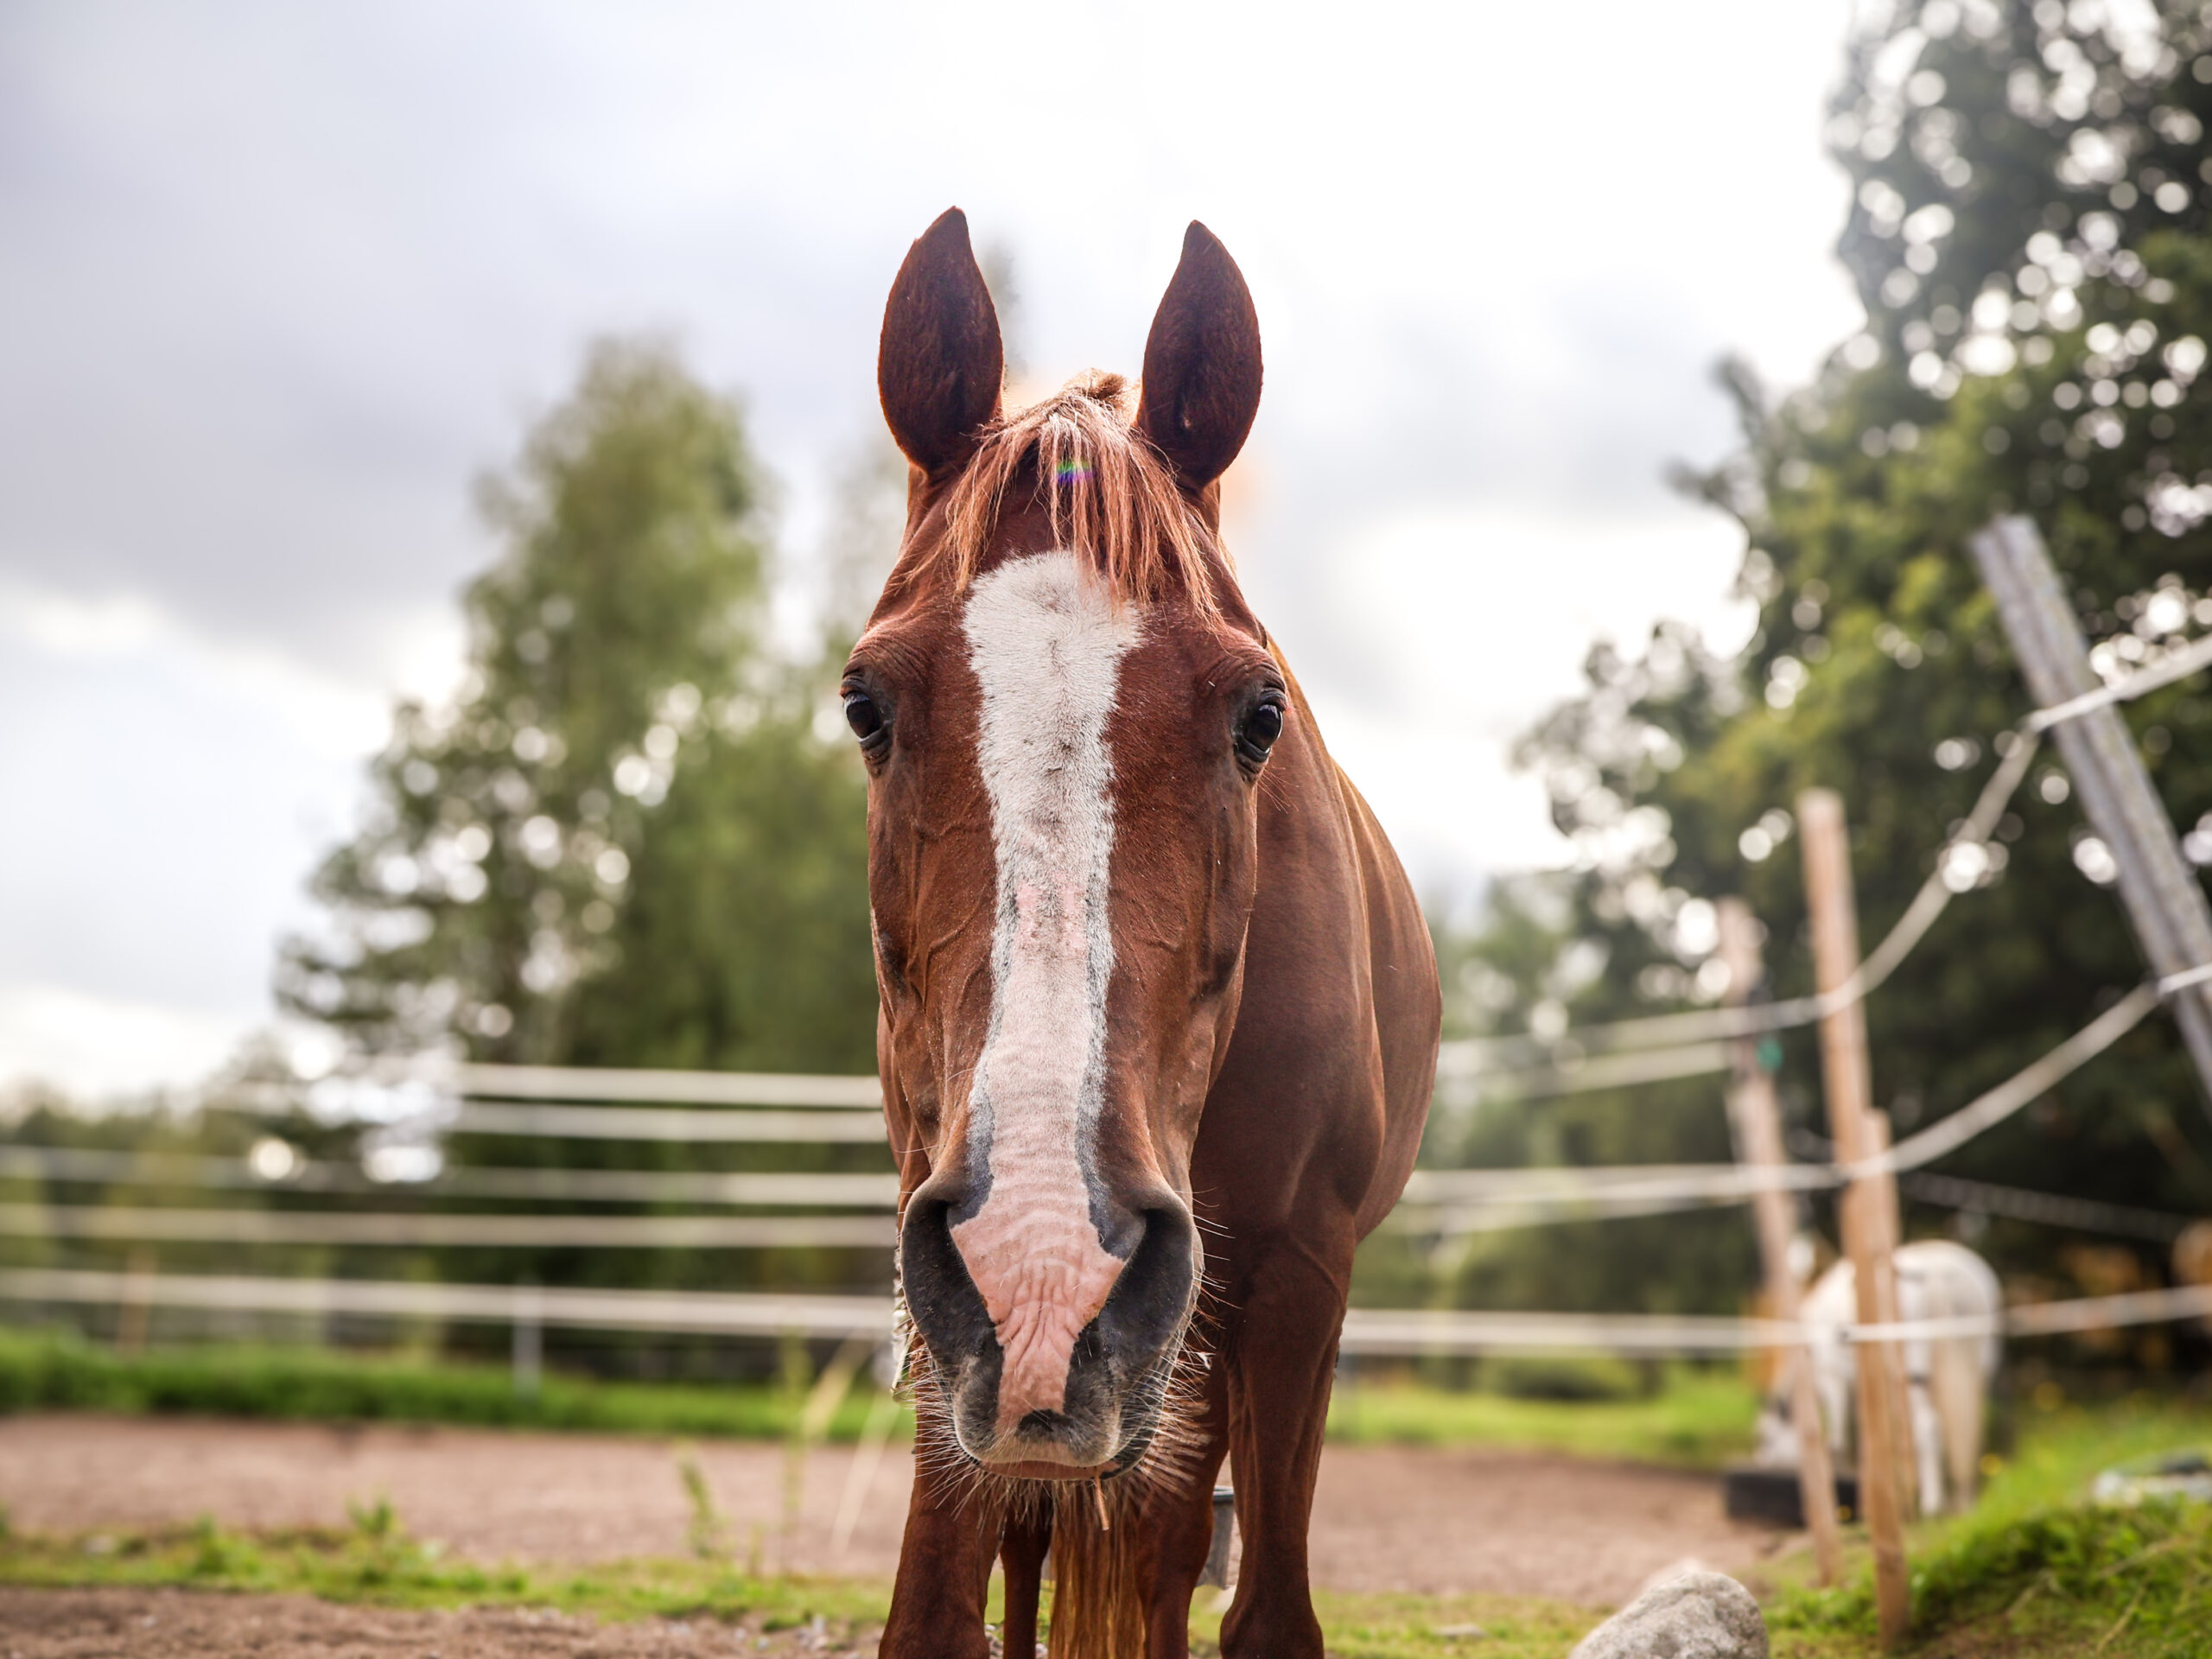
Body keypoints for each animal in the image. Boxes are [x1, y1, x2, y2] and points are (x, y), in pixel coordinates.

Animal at [845, 208, 1441, 1659]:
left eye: (1258, 714)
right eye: (865, 705)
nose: (1049, 1262)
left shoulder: (1297, 1280)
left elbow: (1250, 1602)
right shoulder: (947, 1276)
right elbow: (945, 1607)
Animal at [1755, 1239, 2002, 1517]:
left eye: (1764, 1437)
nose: (1761, 1459)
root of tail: (1942, 1272)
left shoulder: (1833, 1377)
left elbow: (1840, 1433)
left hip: (1914, 1368)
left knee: (1928, 1425)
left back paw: (1930, 1505)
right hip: (1980, 1363)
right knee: (1965, 1427)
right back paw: (1963, 1499)